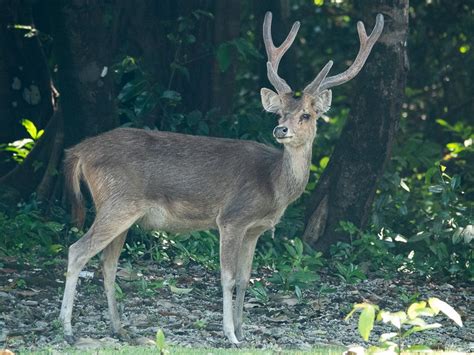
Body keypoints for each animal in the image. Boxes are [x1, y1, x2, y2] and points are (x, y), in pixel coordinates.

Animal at [60, 10, 386, 344]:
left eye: (305, 115)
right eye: (279, 113)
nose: (280, 129)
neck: (274, 186)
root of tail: (79, 151)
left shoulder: (255, 229)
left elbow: (245, 278)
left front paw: (244, 330)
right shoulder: (231, 218)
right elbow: (228, 278)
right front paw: (231, 334)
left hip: (123, 210)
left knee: (107, 263)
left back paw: (119, 328)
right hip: (118, 202)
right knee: (77, 251)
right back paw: (68, 328)